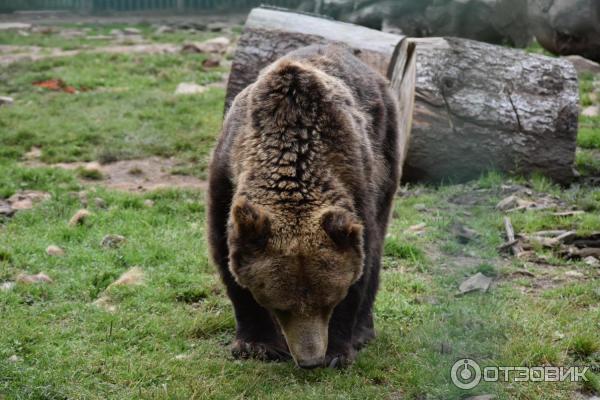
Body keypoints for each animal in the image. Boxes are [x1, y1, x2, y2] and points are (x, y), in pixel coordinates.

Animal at [206, 43, 398, 368]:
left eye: (329, 301)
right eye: (280, 305)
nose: (310, 360)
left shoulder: (357, 184)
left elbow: (363, 260)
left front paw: (337, 351)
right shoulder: (225, 179)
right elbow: (226, 258)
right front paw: (257, 344)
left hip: (386, 148)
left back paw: (363, 331)